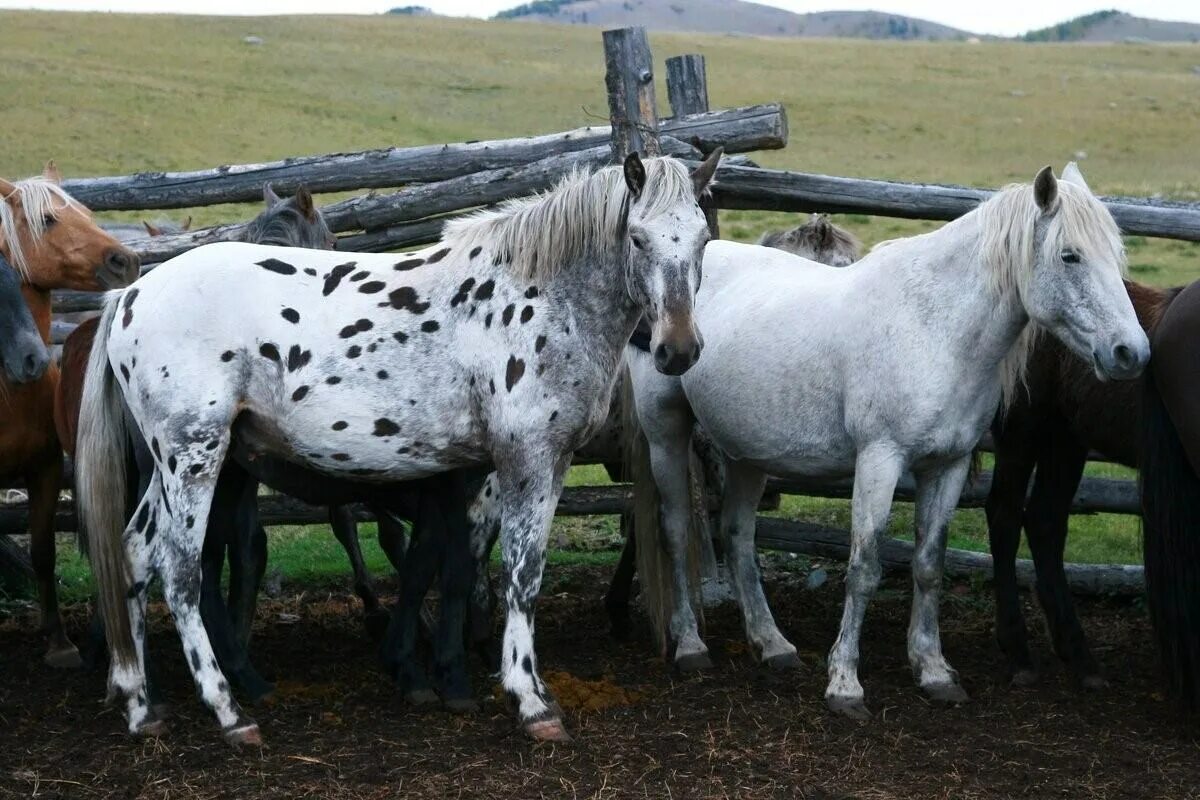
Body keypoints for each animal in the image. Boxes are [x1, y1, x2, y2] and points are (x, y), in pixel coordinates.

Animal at [0, 163, 139, 671]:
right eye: (48, 221)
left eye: (88, 213)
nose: (125, 261)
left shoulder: (44, 470)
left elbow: (43, 553)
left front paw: (58, 641)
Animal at [79, 149, 724, 743]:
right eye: (637, 237)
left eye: (701, 238)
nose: (678, 350)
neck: (538, 294)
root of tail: (131, 295)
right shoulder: (525, 459)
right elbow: (519, 574)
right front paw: (528, 701)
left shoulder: (536, 465)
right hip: (194, 458)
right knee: (180, 570)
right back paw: (228, 712)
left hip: (173, 467)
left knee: (135, 554)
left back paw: (141, 706)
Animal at [624, 164, 1147, 719]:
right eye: (1070, 256)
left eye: (1115, 254)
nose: (1131, 353)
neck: (935, 328)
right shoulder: (880, 460)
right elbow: (864, 567)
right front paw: (844, 684)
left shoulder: (947, 466)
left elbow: (929, 565)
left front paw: (933, 669)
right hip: (666, 432)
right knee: (676, 528)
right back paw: (690, 646)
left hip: (747, 452)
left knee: (739, 536)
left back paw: (773, 644)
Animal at [984, 281, 1200, 705]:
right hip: (1022, 432)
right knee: (1004, 519)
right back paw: (1018, 652)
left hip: (1065, 439)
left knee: (1044, 523)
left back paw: (1078, 655)